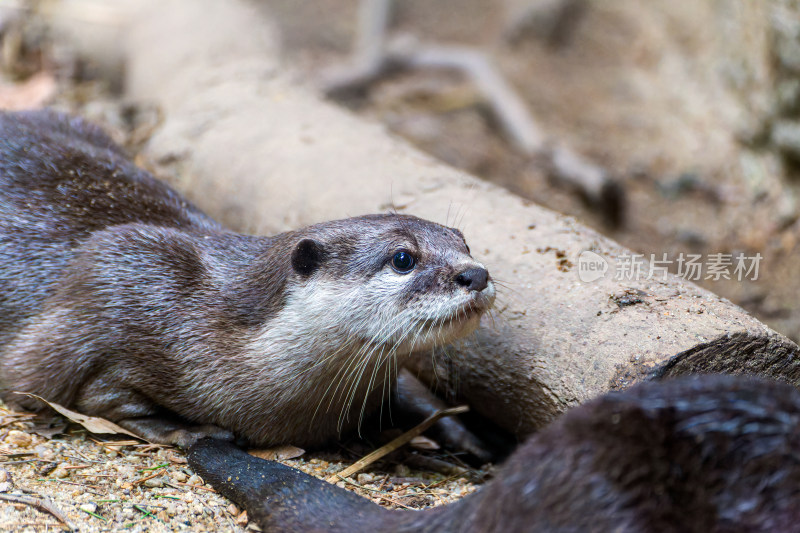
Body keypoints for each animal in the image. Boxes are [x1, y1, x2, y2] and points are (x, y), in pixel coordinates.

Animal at [0, 110, 494, 446]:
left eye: (464, 241)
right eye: (403, 258)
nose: (476, 274)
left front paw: (462, 432)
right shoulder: (118, 278)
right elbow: (96, 393)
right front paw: (189, 430)